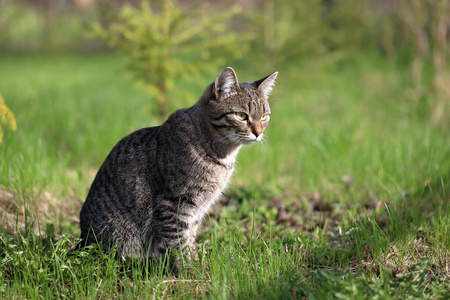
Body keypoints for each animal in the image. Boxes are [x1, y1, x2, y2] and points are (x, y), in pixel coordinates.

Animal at [79, 67, 278, 274]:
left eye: (264, 117)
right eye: (241, 115)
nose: (258, 132)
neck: (221, 155)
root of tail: (82, 240)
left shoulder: (197, 210)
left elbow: (189, 237)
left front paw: (194, 262)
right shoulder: (174, 204)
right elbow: (178, 242)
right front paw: (187, 271)